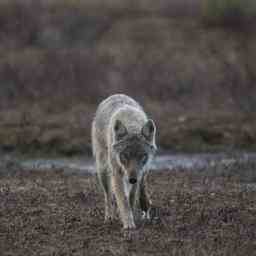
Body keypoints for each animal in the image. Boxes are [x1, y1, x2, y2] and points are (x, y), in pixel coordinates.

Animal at [91, 94, 157, 230]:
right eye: (124, 155)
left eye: (142, 156)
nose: (132, 179)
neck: (131, 123)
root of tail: (115, 95)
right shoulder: (117, 174)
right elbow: (122, 200)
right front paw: (128, 223)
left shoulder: (139, 174)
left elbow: (131, 198)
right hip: (103, 171)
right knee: (108, 196)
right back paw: (109, 217)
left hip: (141, 173)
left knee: (141, 186)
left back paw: (145, 204)